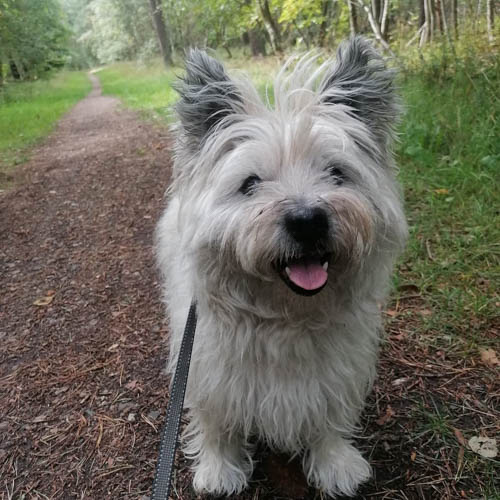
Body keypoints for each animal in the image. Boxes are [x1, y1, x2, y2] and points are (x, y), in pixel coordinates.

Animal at [156, 37, 406, 498]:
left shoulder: (336, 367)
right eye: (250, 184)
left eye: (336, 173)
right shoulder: (205, 363)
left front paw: (334, 461)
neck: (286, 317)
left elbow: (328, 410)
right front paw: (219, 468)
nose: (308, 221)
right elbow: (216, 419)